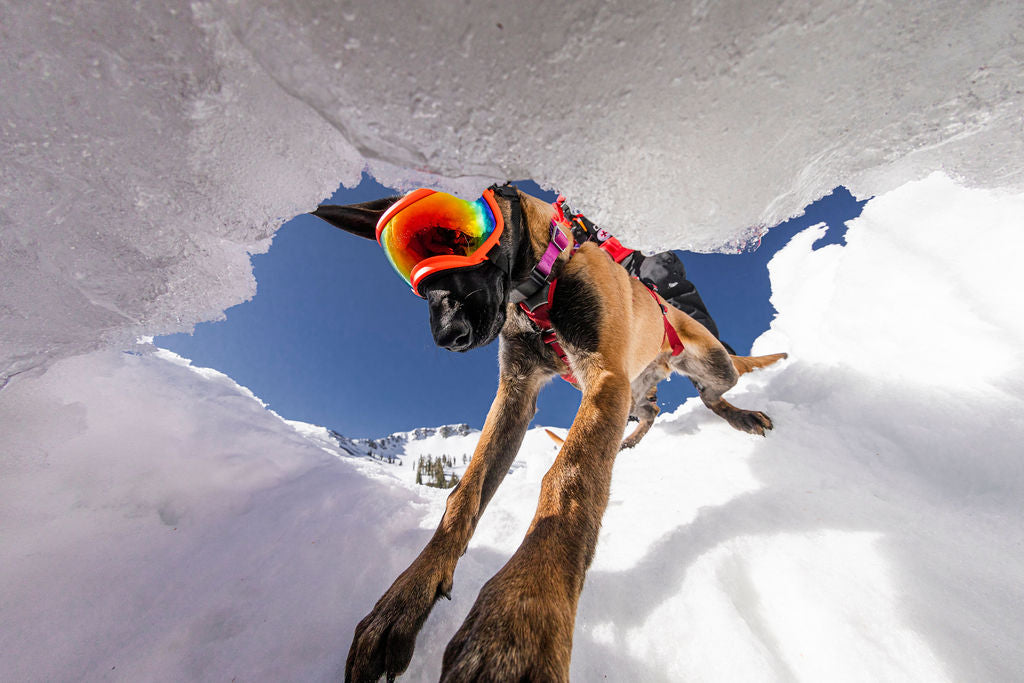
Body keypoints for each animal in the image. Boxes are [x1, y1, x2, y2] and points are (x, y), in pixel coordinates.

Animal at [311, 184, 782, 679]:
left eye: (456, 235)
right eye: (414, 271)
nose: (447, 336)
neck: (537, 286)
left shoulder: (604, 376)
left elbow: (569, 478)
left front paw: (519, 612)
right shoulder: (516, 394)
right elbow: (465, 494)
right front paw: (404, 598)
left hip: (710, 362)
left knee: (710, 395)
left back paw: (740, 415)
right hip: (636, 389)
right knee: (650, 409)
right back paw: (631, 441)